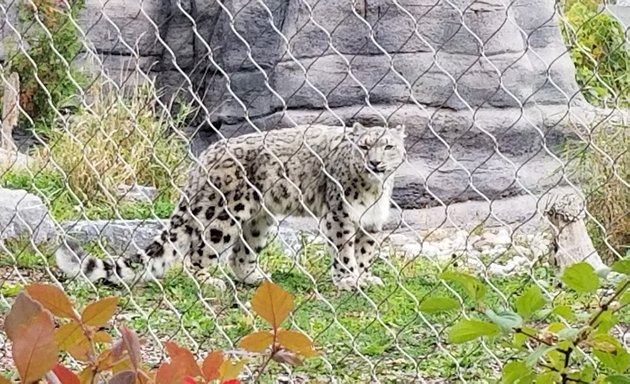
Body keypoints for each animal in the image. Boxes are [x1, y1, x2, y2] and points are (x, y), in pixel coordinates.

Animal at [56, 121, 408, 290]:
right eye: (364, 146)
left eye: (388, 146)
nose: (375, 163)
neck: (374, 189)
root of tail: (204, 157)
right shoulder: (341, 216)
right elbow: (345, 252)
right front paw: (348, 279)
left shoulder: (371, 222)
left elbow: (364, 252)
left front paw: (365, 277)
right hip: (223, 215)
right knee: (198, 253)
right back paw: (209, 281)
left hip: (259, 219)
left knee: (241, 253)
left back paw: (254, 277)